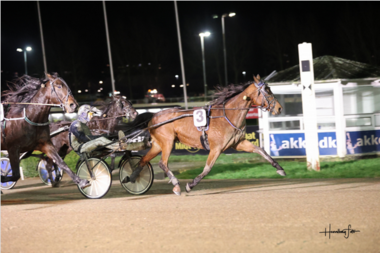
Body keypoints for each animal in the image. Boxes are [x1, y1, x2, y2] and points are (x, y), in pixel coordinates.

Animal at [127, 74, 284, 195]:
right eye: (267, 91)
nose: (279, 108)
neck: (227, 115)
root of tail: (154, 116)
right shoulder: (216, 148)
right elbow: (207, 168)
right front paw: (190, 185)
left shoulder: (238, 143)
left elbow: (261, 150)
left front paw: (280, 169)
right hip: (168, 143)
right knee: (162, 163)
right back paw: (176, 185)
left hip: (158, 145)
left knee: (143, 160)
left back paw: (131, 178)